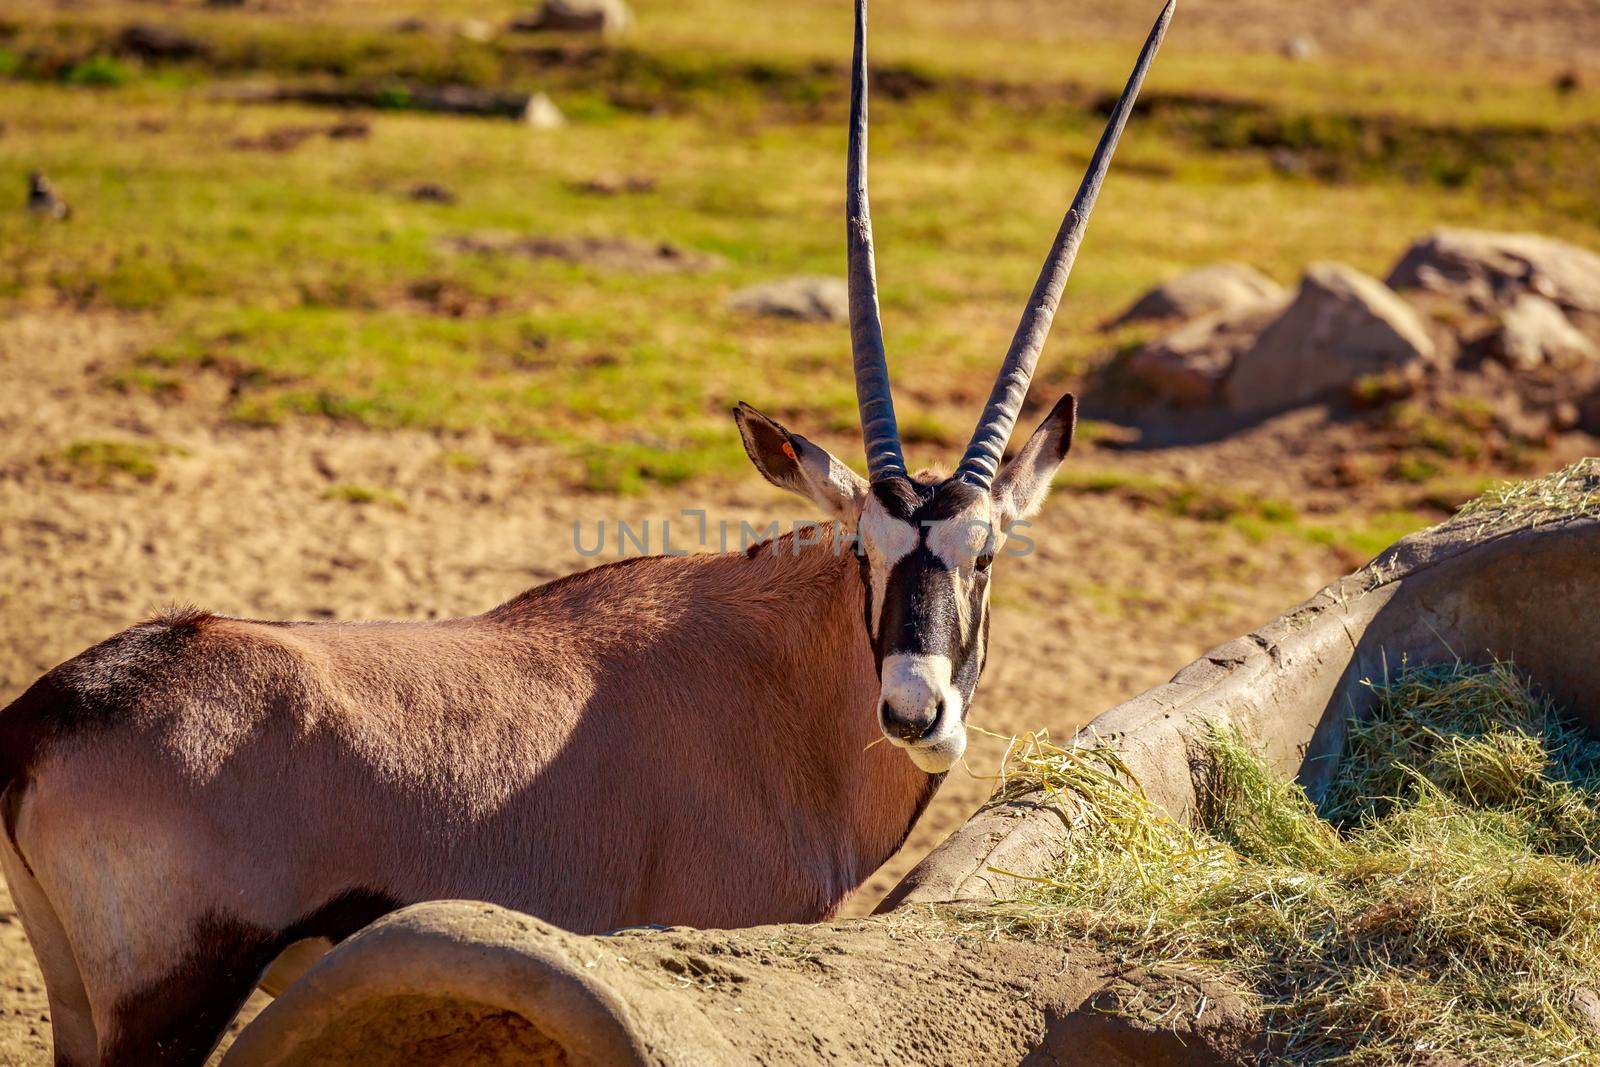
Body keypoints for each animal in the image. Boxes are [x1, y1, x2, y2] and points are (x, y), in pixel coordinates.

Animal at [0, 4, 1177, 1062]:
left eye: (986, 552)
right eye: (862, 554)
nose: (914, 709)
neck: (775, 684)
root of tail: (49, 715)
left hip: (78, 998)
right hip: (167, 1002)